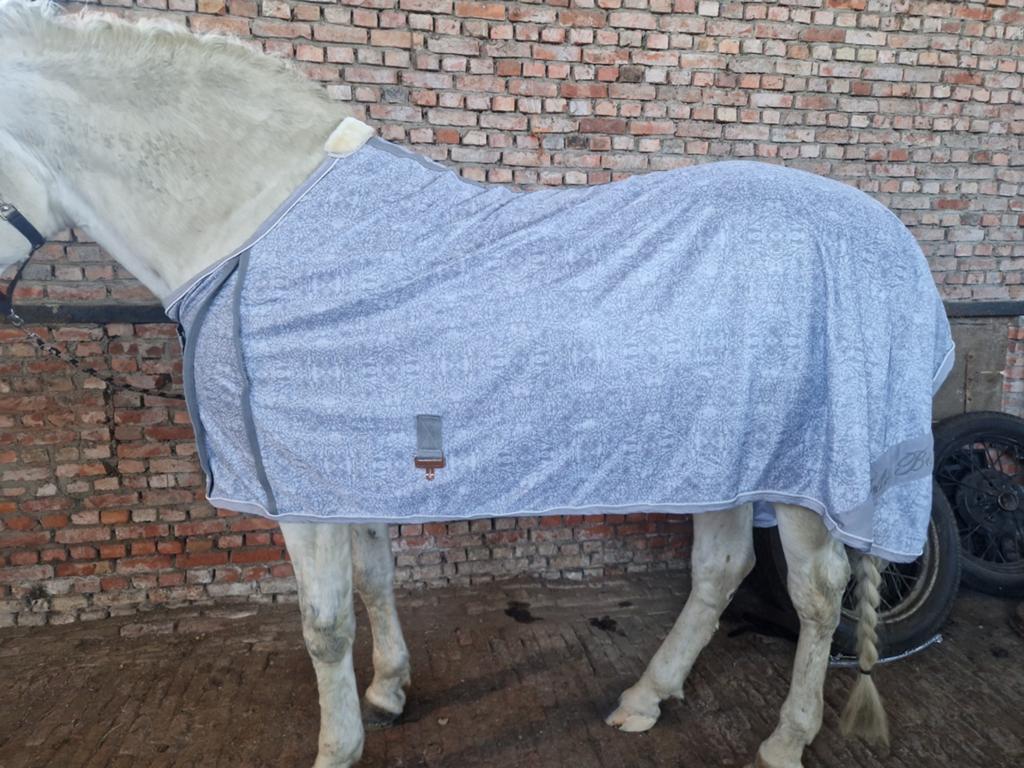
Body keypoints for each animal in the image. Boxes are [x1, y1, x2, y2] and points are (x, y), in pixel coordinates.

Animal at [0, 3, 955, 767]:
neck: (258, 227)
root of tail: (887, 235)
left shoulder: (301, 488)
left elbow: (323, 625)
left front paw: (337, 747)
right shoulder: (346, 464)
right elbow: (374, 580)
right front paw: (389, 693)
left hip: (803, 470)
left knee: (819, 590)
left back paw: (785, 739)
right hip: (722, 450)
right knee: (720, 568)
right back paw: (645, 699)